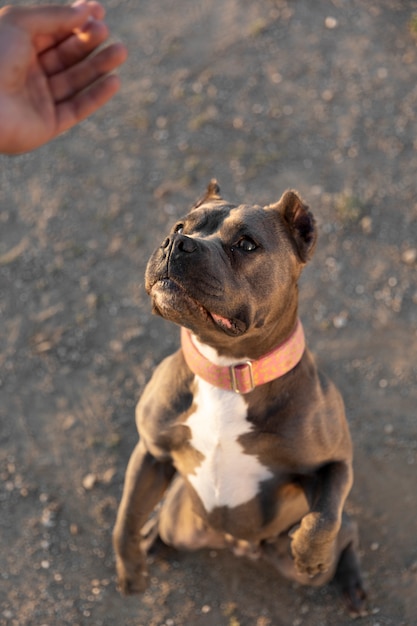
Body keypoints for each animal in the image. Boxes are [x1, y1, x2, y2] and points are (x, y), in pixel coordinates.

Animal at [112, 180, 366, 616]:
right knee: (162, 523)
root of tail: (239, 546)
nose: (175, 242)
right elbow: (125, 516)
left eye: (247, 244)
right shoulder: (151, 453)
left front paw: (309, 550)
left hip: (307, 559)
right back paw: (155, 540)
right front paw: (131, 569)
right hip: (181, 520)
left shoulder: (333, 464)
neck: (228, 369)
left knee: (346, 531)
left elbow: (323, 518)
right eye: (179, 225)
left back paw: (348, 578)